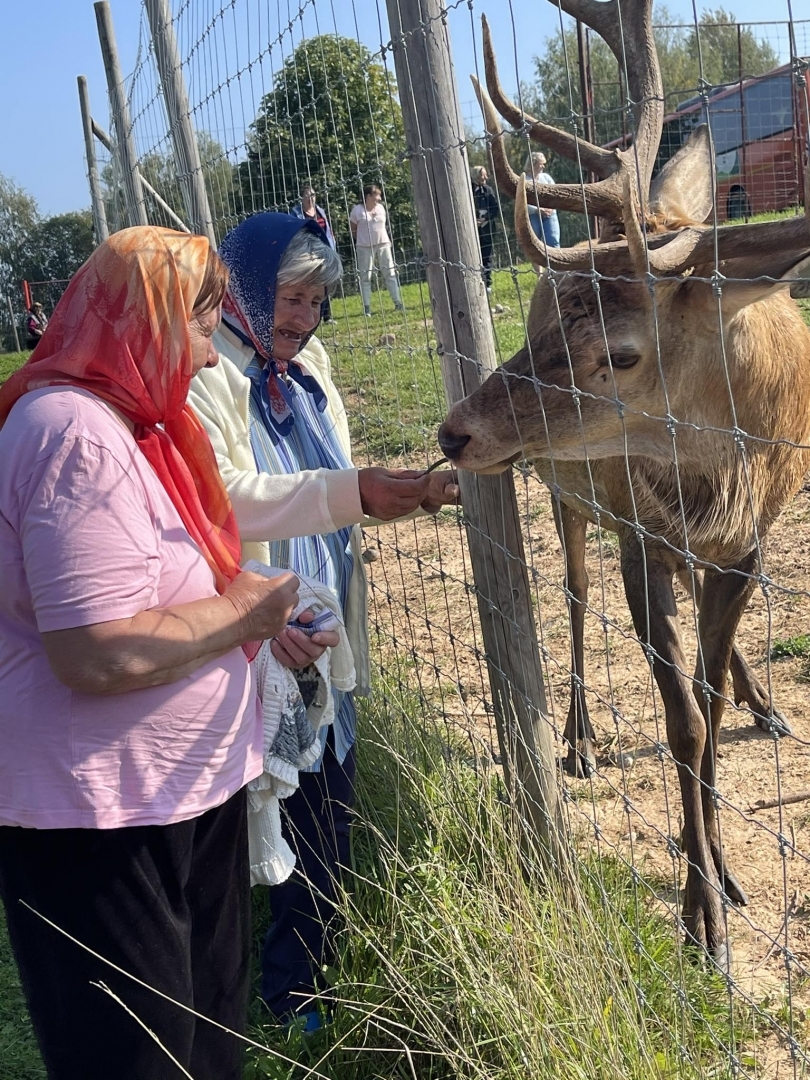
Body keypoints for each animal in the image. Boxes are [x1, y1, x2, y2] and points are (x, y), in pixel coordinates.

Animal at [440, 0, 810, 963]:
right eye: (550, 317)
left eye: (623, 352)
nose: (454, 429)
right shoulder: (636, 534)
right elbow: (681, 720)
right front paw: (703, 909)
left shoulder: (749, 547)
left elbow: (705, 707)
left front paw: (720, 866)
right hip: (569, 495)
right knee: (572, 596)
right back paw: (575, 740)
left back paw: (766, 704)